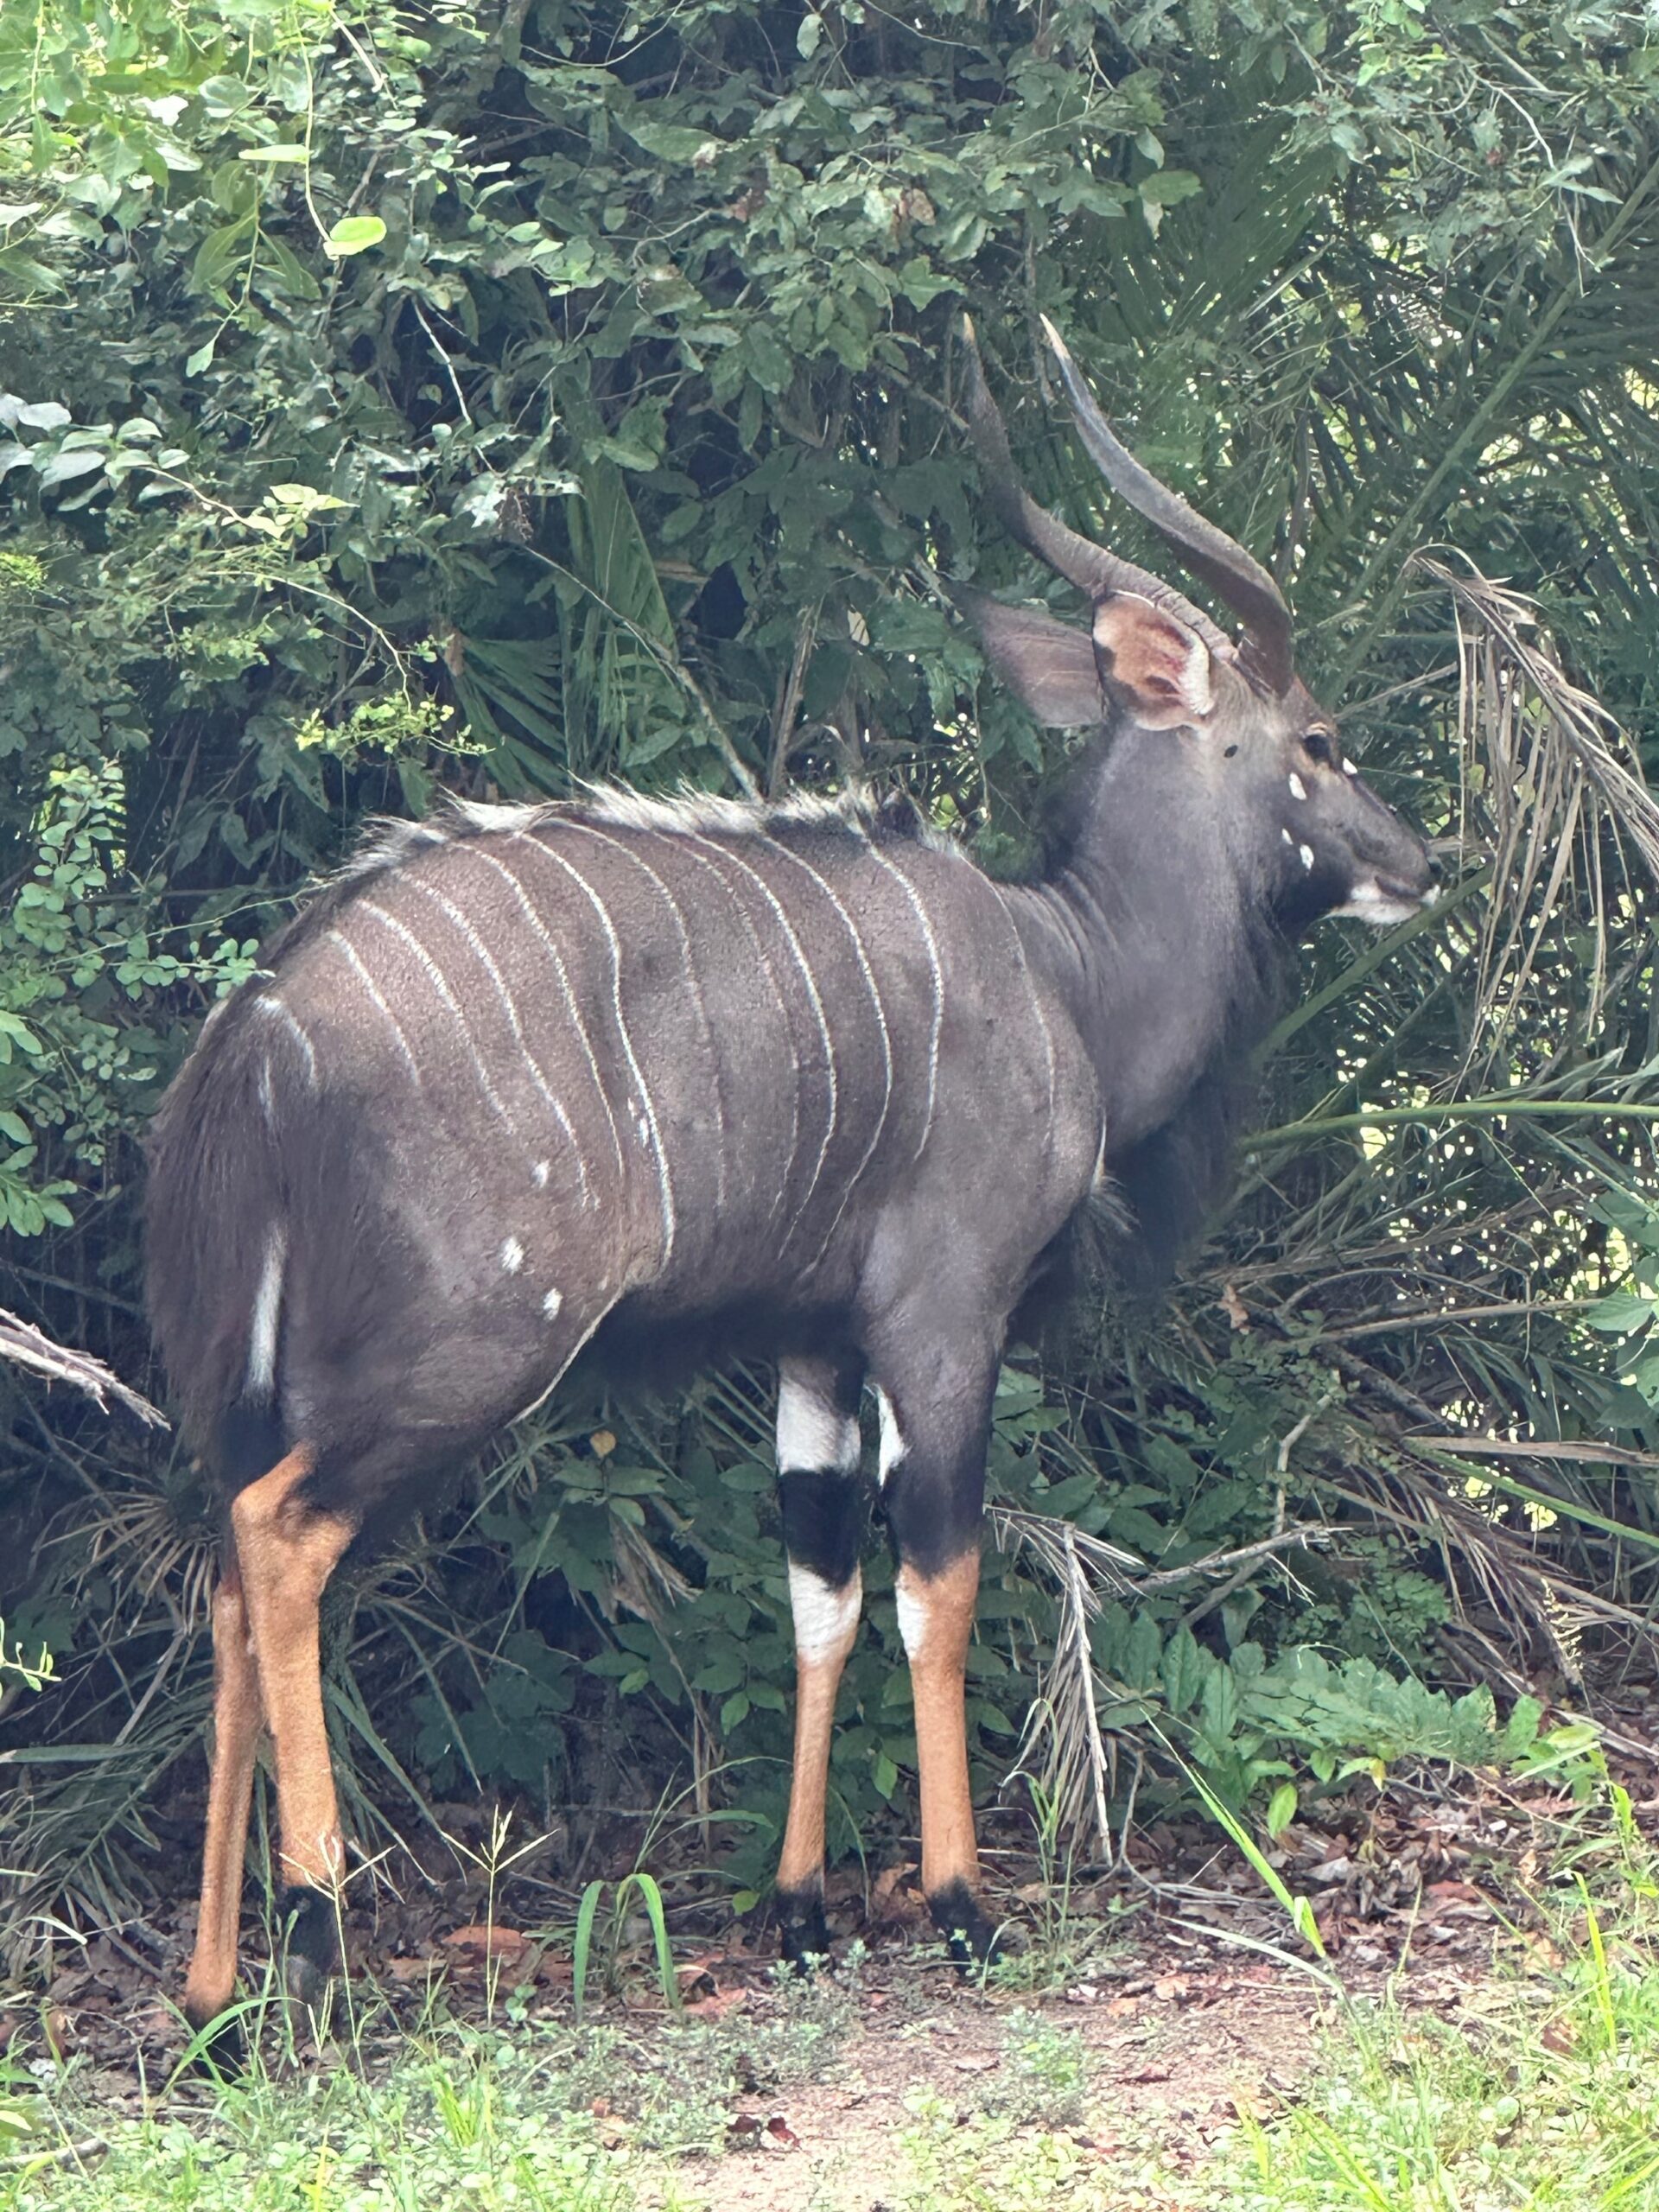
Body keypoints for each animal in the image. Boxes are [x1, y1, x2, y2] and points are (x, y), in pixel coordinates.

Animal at [146, 320, 1432, 2041]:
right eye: (1318, 742)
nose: (1418, 865)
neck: (1068, 975)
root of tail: (258, 1038)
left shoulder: (815, 1340)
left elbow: (819, 1580)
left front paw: (804, 1909)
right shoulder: (945, 1317)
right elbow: (939, 1580)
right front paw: (962, 1909)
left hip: (270, 1372)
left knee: (227, 1563)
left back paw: (215, 1989)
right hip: (466, 1351)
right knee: (281, 1538)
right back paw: (310, 1940)